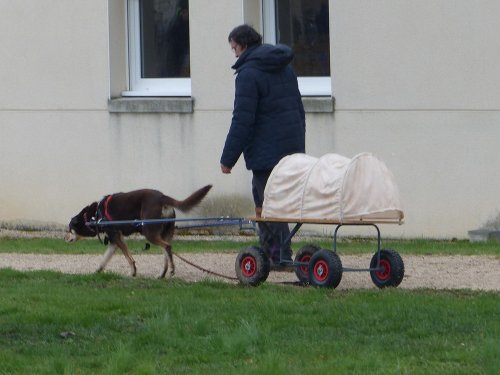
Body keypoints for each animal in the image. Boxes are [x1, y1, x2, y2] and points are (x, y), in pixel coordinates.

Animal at [64, 186, 211, 278]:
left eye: (69, 229)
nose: (64, 238)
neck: (94, 215)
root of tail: (162, 197)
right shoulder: (114, 240)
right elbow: (105, 258)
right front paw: (98, 270)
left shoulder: (116, 237)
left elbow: (128, 258)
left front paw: (133, 273)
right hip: (164, 233)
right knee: (166, 252)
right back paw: (162, 274)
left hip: (149, 232)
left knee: (167, 247)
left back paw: (171, 270)